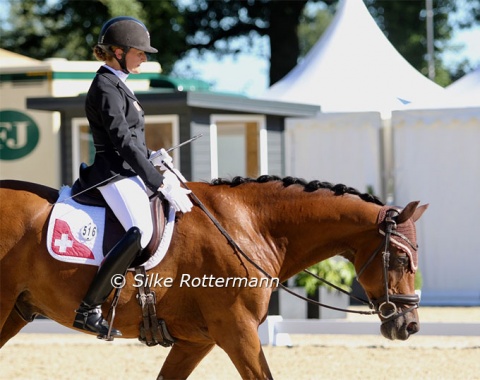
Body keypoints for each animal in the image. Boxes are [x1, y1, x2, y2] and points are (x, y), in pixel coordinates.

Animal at [0, 177, 428, 378]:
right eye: (401, 259)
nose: (409, 326)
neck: (250, 226)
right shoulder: (237, 333)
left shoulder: (197, 341)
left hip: (17, 312)